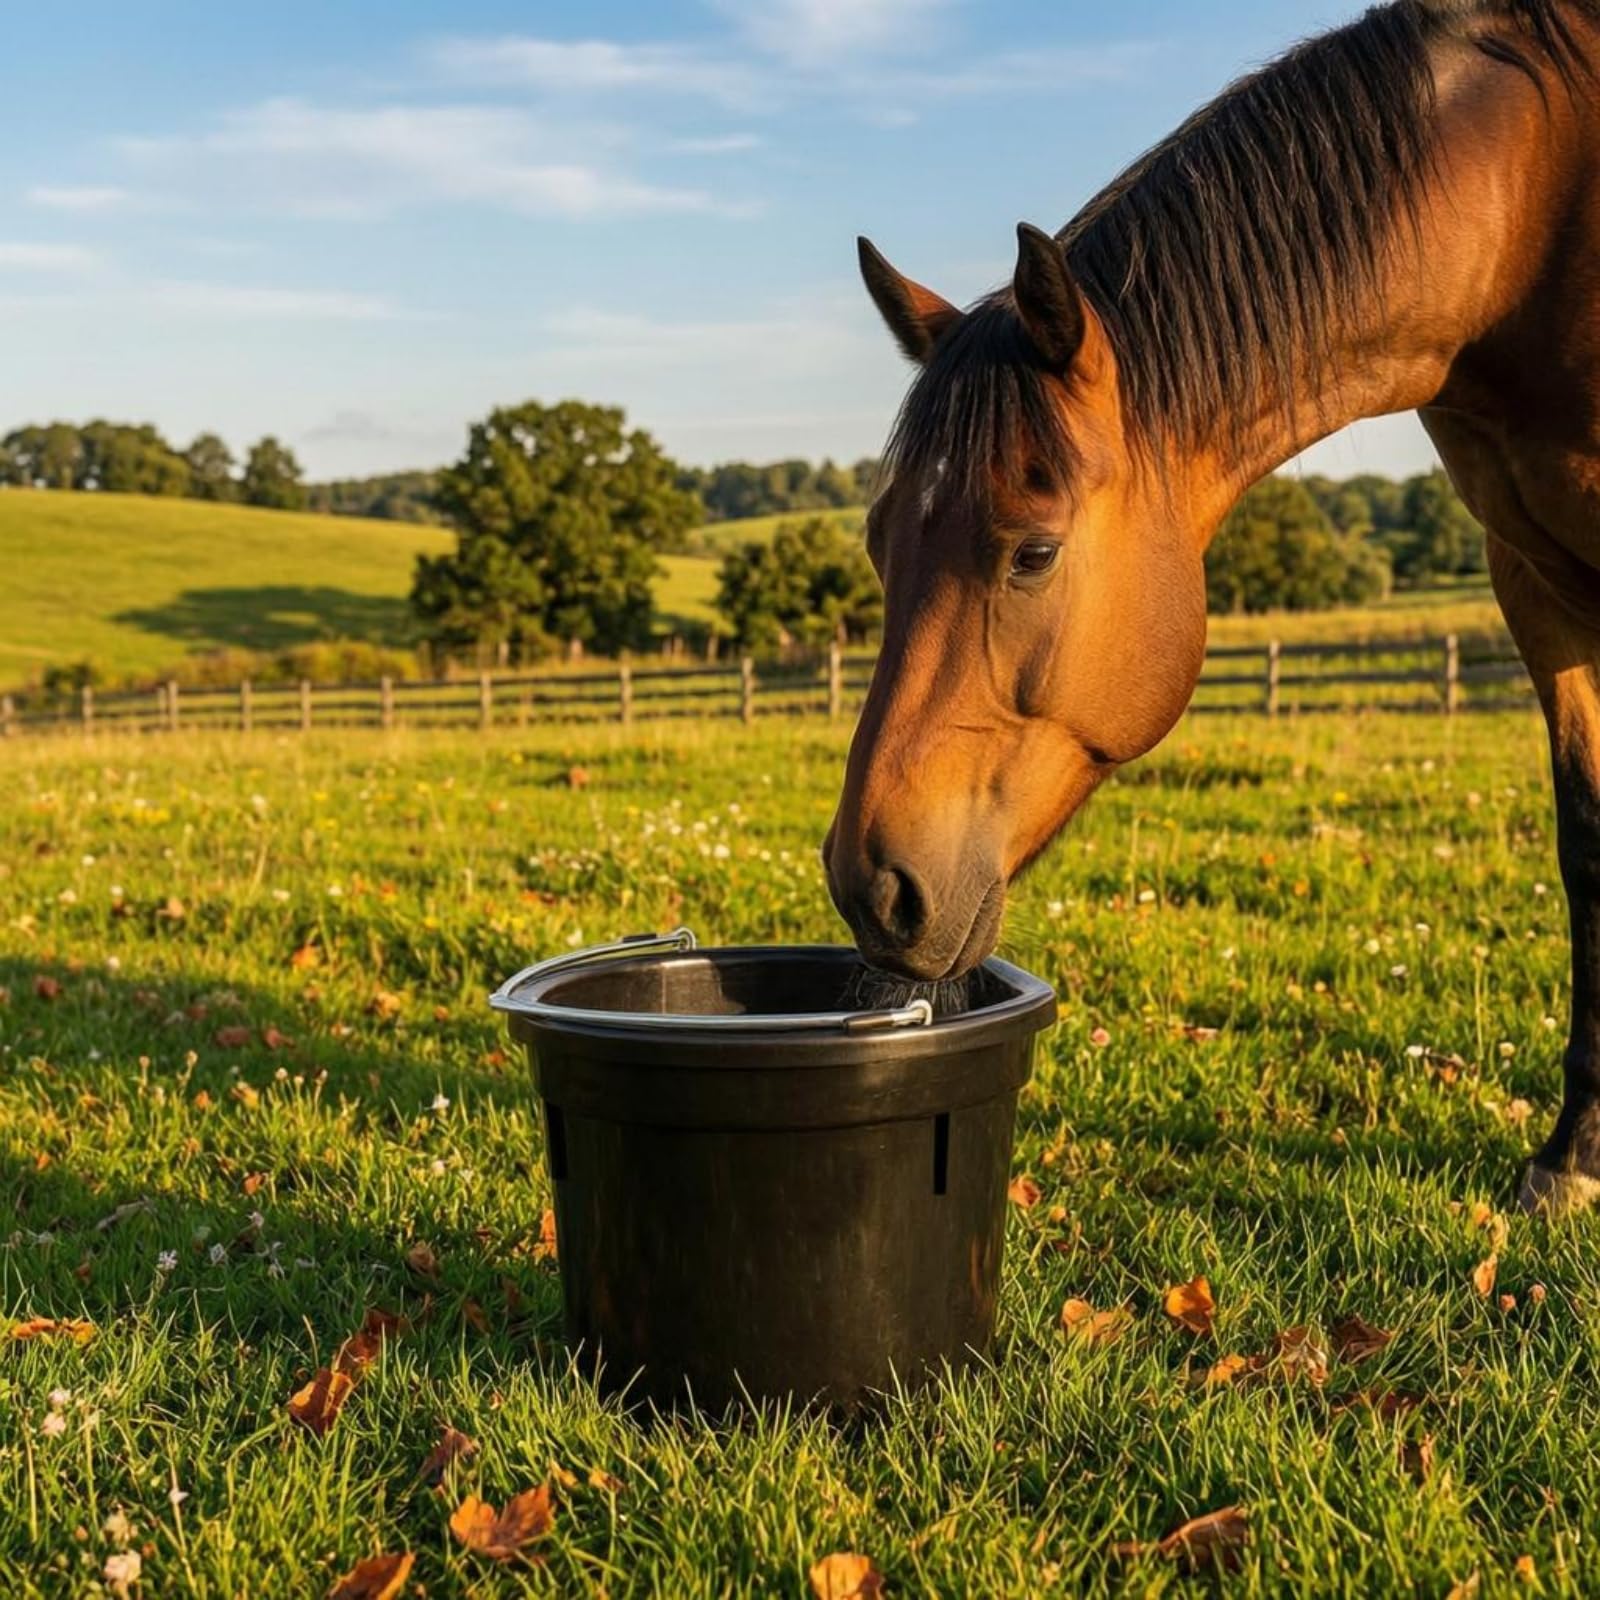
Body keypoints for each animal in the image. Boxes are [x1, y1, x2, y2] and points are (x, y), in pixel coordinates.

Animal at [822, 0, 1600, 1213]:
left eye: (1033, 552)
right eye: (875, 539)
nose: (873, 889)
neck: (1538, 212)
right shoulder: (1533, 580)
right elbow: (1589, 847)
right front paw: (1574, 1153)